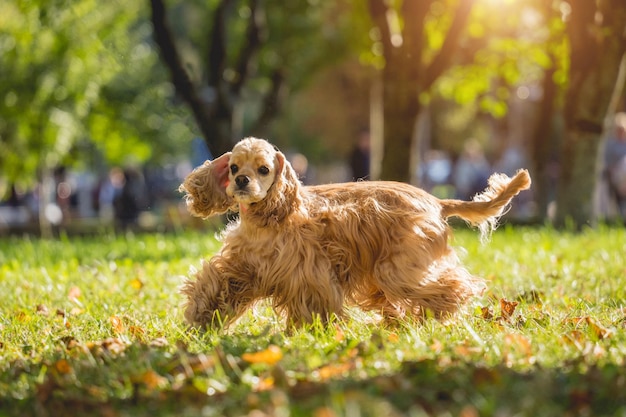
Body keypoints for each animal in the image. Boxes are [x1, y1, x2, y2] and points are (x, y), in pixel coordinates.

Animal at [178, 136, 528, 328]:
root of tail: (436, 201)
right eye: (234, 167)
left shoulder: (308, 274)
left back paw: (437, 312)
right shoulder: (241, 267)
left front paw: (309, 332)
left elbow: (312, 305)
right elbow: (215, 288)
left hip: (398, 267)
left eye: (264, 169)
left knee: (453, 286)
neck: (267, 219)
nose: (241, 181)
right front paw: (200, 320)